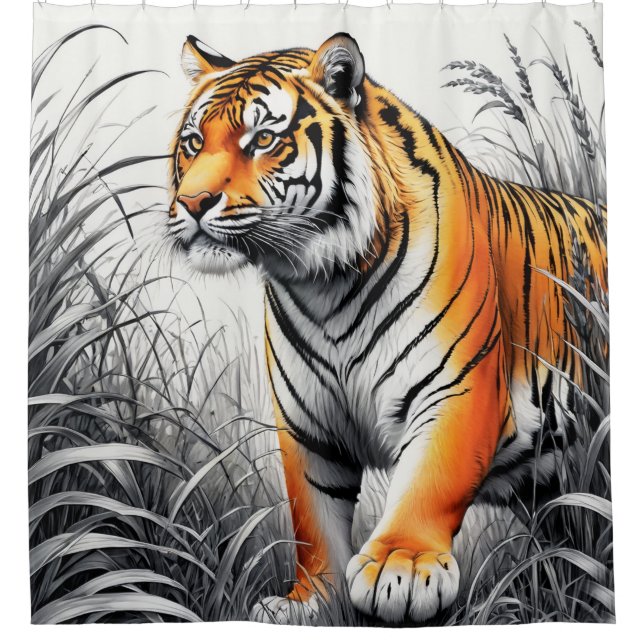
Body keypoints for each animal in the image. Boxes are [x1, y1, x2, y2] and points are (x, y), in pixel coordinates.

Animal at [167, 33, 607, 624]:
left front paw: (402, 569)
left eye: (262, 139)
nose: (192, 203)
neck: (324, 286)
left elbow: (428, 483)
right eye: (193, 142)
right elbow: (313, 517)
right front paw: (311, 602)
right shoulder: (308, 423)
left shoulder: (458, 389)